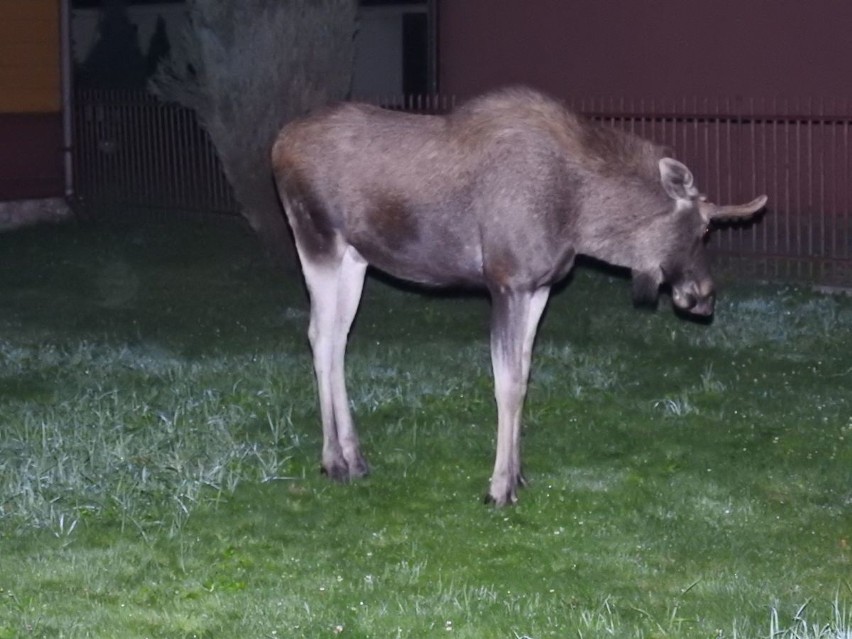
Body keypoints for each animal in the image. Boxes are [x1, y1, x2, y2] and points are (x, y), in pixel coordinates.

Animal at [272, 85, 764, 508]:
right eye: (704, 229)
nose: (705, 296)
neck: (579, 217)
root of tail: (277, 145)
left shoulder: (539, 285)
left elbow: (524, 376)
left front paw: (519, 473)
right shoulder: (506, 281)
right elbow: (505, 383)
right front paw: (498, 486)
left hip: (355, 257)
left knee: (338, 339)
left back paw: (354, 457)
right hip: (317, 242)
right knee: (320, 337)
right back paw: (333, 460)